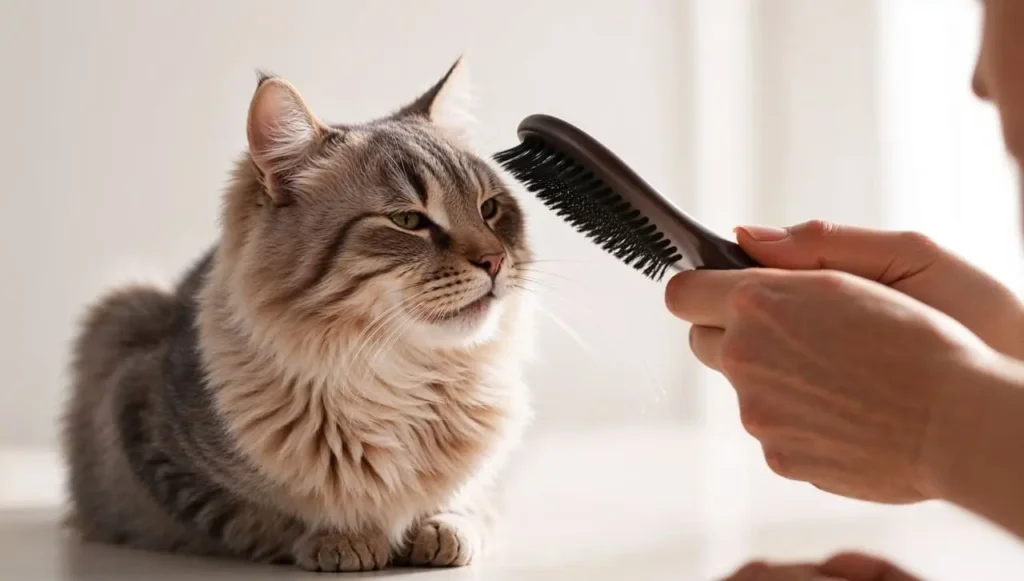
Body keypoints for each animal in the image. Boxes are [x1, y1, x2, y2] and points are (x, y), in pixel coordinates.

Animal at [59, 60, 536, 573]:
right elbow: (271, 518)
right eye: (409, 221)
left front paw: (443, 529)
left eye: (489, 209)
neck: (405, 384)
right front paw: (345, 541)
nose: (495, 260)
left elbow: (469, 503)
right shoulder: (155, 443)